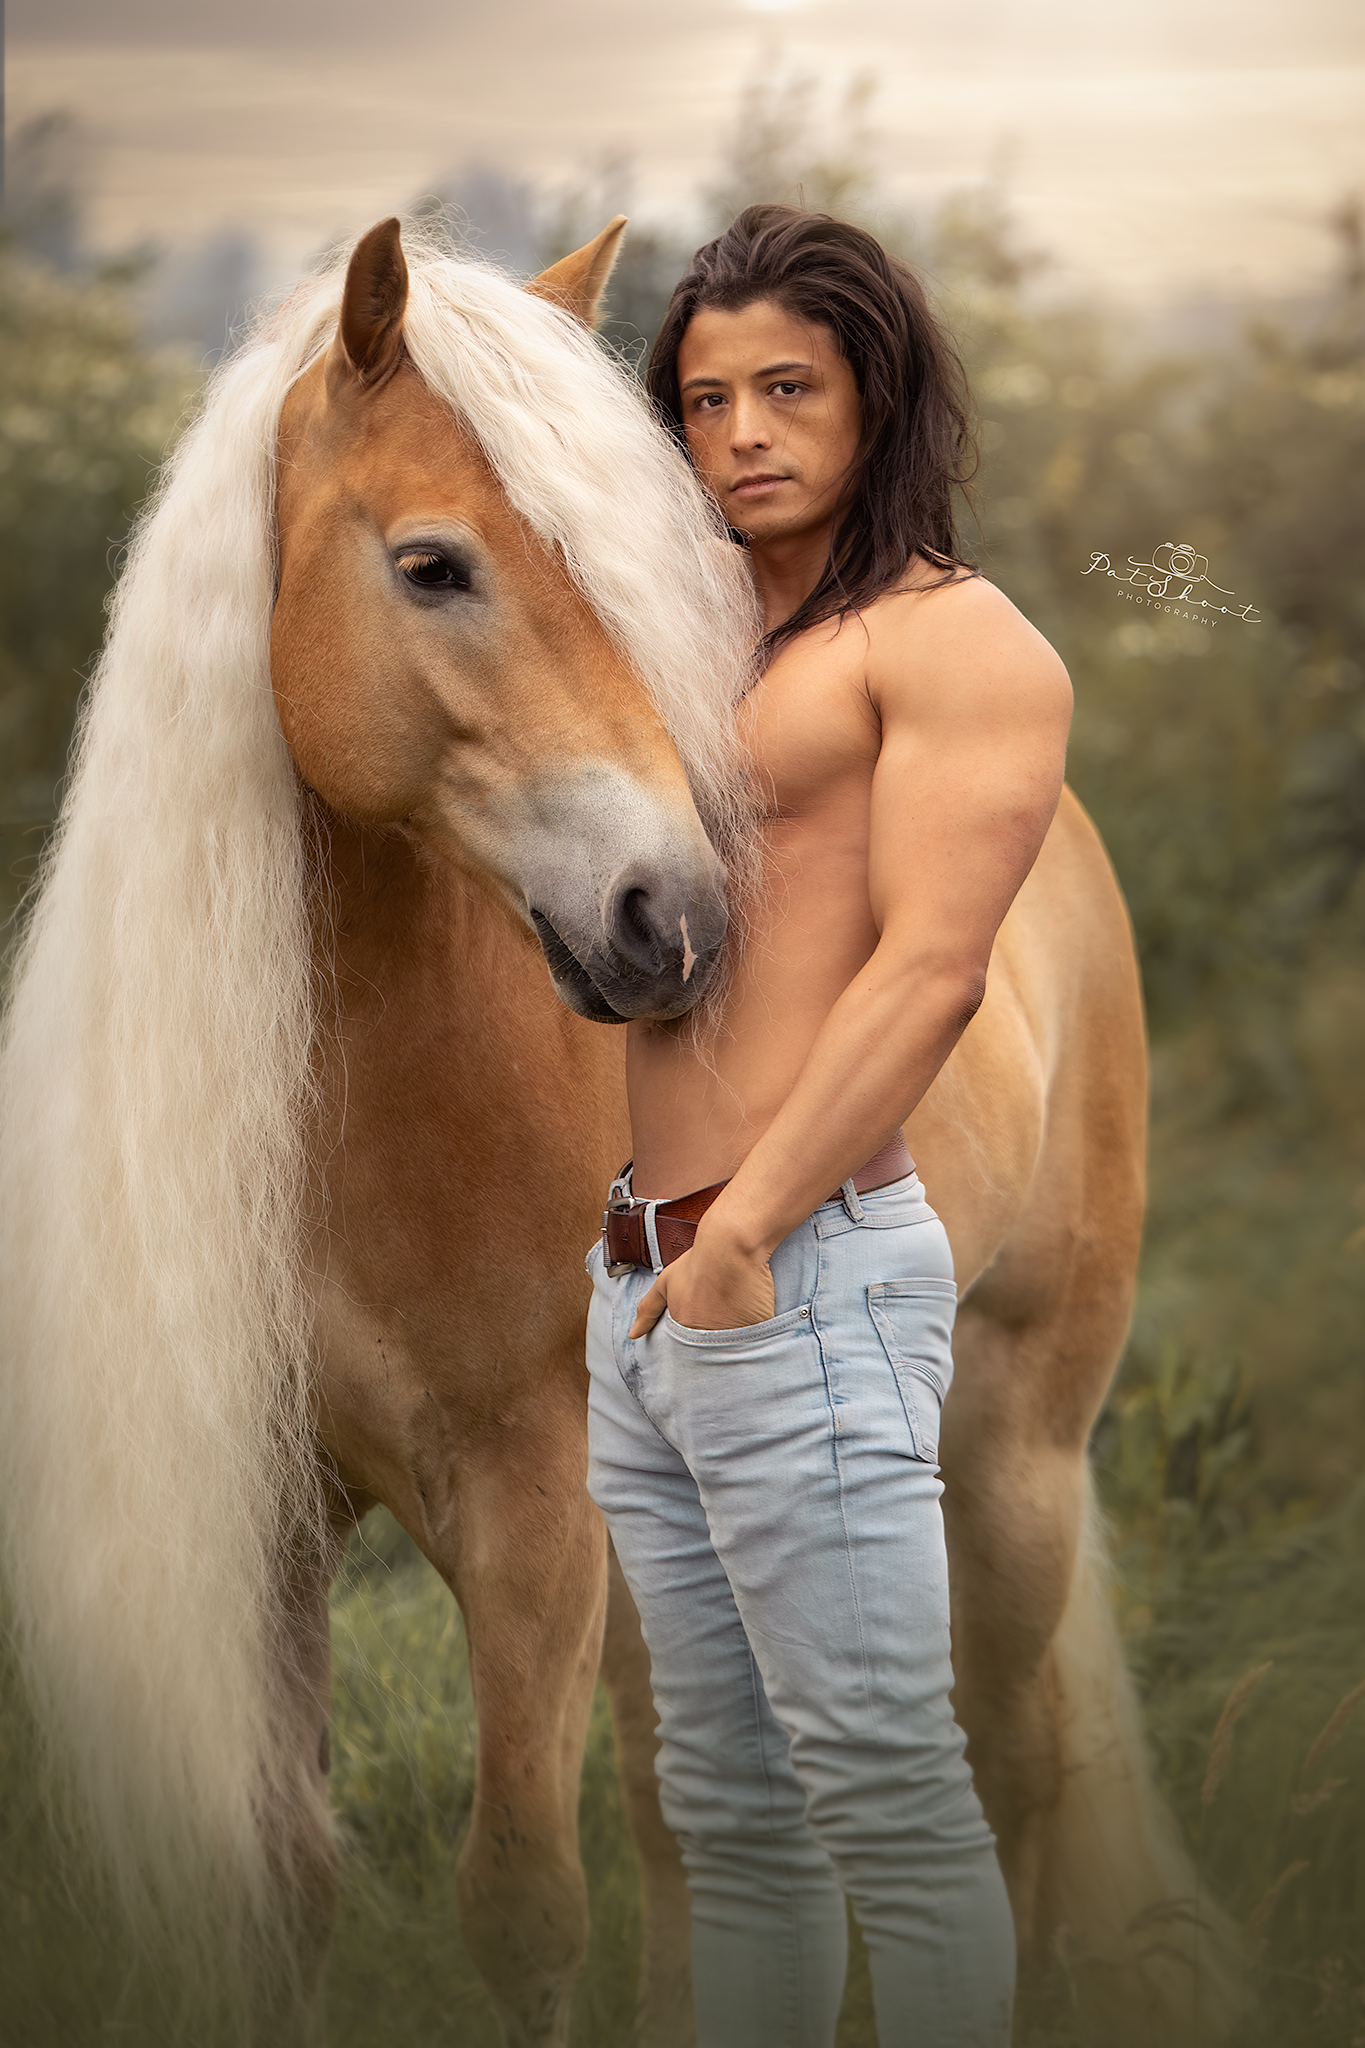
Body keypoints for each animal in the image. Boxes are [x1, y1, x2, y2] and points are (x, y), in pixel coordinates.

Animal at [0, 212, 1231, 2046]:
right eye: (433, 564)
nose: (678, 916)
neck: (361, 1111)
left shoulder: (530, 1506)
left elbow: (521, 1901)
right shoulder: (275, 1524)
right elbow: (293, 1885)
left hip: (1009, 1452)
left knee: (1010, 1776)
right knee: (688, 1818)